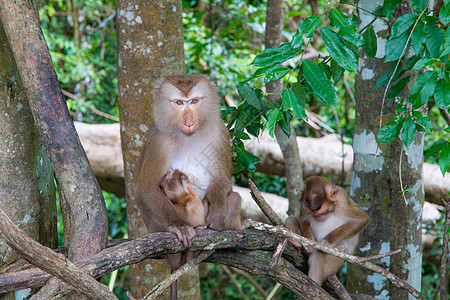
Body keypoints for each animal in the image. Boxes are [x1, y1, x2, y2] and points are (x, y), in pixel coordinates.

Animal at [136, 74, 243, 298]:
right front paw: (180, 226)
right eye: (178, 103)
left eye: (194, 101)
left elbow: (221, 178)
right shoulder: (157, 140)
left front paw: (217, 216)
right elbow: (146, 189)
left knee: (234, 197)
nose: (188, 122)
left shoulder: (220, 133)